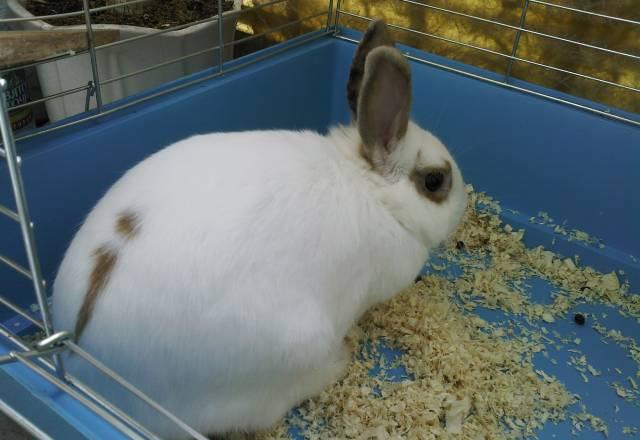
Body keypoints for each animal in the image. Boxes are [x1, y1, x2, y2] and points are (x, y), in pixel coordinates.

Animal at [51, 19, 468, 439]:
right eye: (434, 181)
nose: (464, 204)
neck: (372, 189)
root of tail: (89, 369)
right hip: (291, 352)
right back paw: (341, 357)